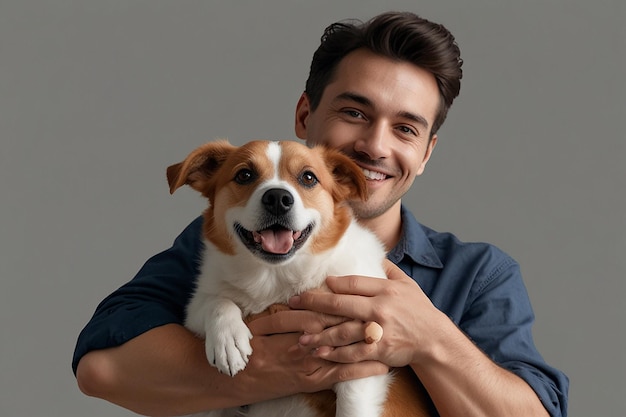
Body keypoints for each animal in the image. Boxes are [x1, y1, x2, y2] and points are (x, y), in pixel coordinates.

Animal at [165, 140, 434, 416]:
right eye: (244, 175)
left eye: (308, 177)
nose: (277, 199)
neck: (275, 277)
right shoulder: (196, 308)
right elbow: (217, 302)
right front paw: (227, 340)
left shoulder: (360, 360)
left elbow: (352, 405)